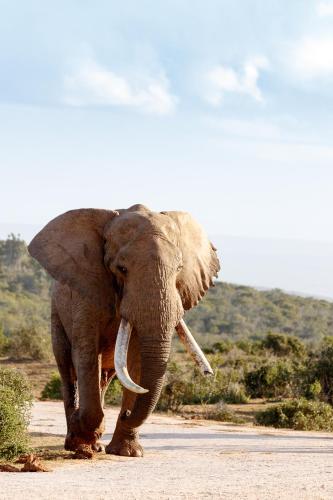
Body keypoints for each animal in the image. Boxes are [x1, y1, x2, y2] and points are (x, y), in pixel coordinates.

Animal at [28, 203, 219, 458]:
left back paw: (95, 443)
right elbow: (86, 353)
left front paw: (128, 453)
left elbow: (136, 361)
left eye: (179, 268)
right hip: (56, 312)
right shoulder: (86, 291)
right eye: (122, 268)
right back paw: (79, 443)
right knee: (68, 368)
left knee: (104, 377)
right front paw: (83, 436)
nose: (126, 414)